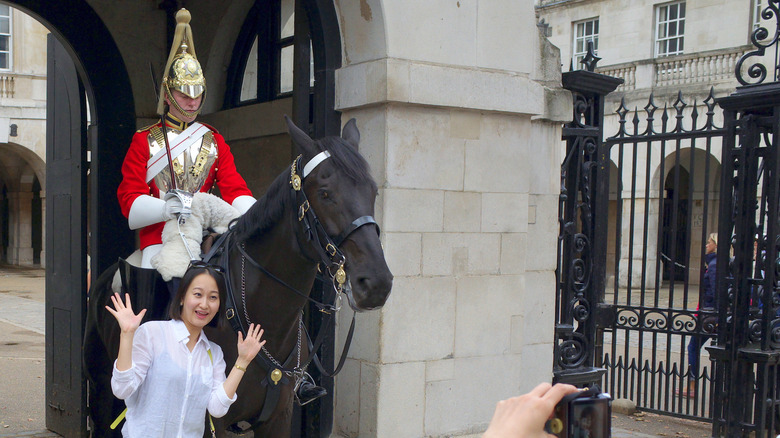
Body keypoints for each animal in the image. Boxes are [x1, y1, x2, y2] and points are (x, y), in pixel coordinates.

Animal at [82, 117, 394, 438]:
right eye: (325, 193)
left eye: (373, 191)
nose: (376, 284)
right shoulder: (210, 421)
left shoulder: (278, 417)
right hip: (102, 391)